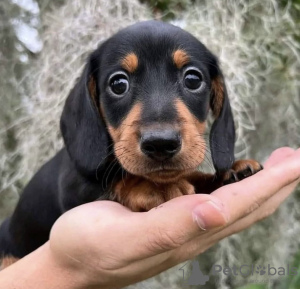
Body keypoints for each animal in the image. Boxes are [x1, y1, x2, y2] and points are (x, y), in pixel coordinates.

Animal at [0, 20, 262, 264]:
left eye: (193, 79)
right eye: (118, 83)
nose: (160, 144)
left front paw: (229, 172)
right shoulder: (74, 188)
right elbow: (119, 180)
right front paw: (154, 187)